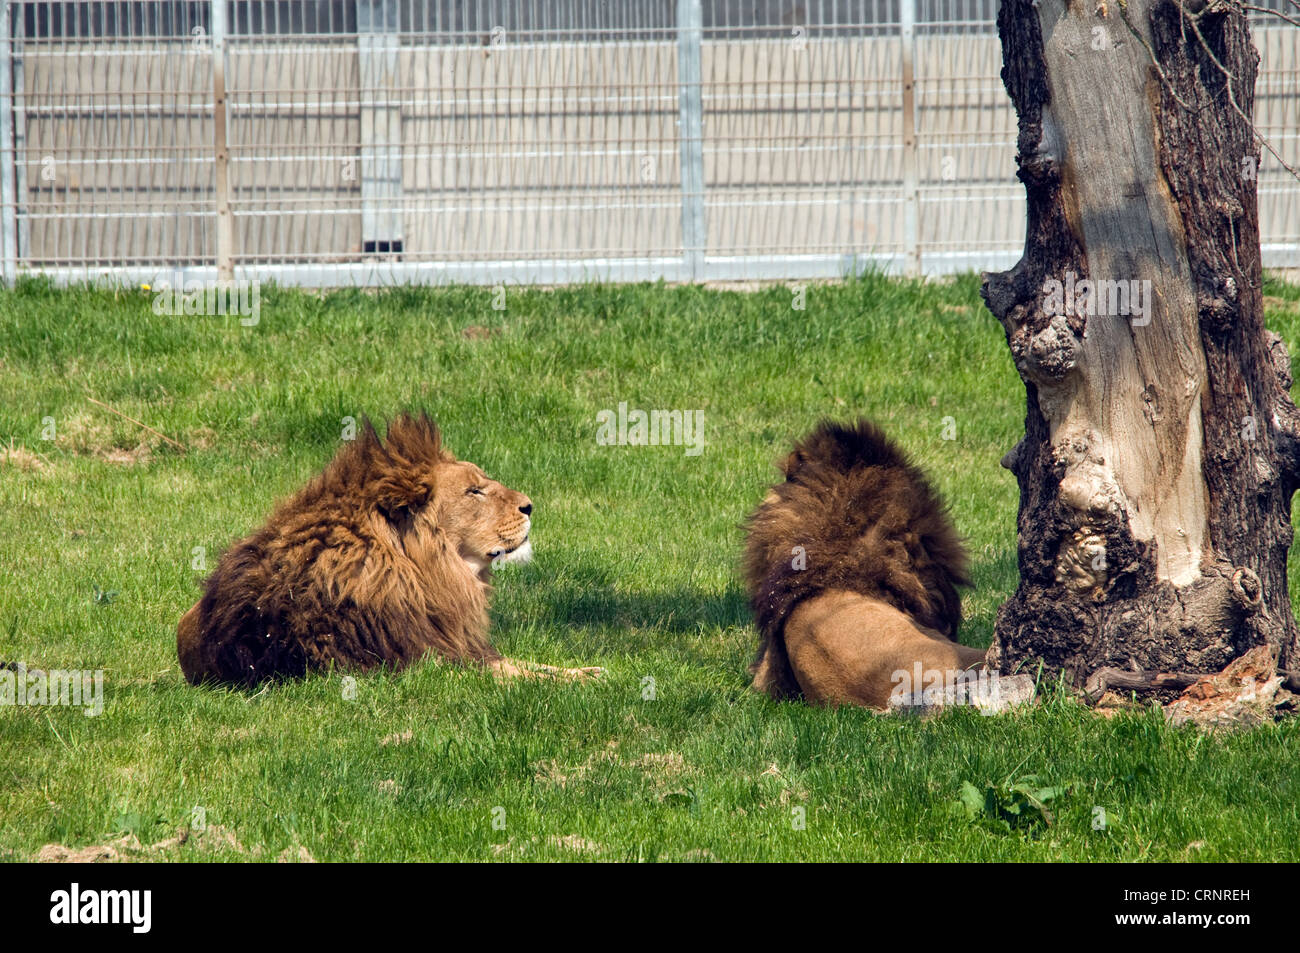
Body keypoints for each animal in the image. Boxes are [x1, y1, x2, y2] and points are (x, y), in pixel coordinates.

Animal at [177, 412, 602, 686]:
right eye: (473, 490)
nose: (529, 505)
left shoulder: (463, 648)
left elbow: (530, 664)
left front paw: (588, 671)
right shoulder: (424, 665)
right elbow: (519, 676)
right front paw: (589, 684)